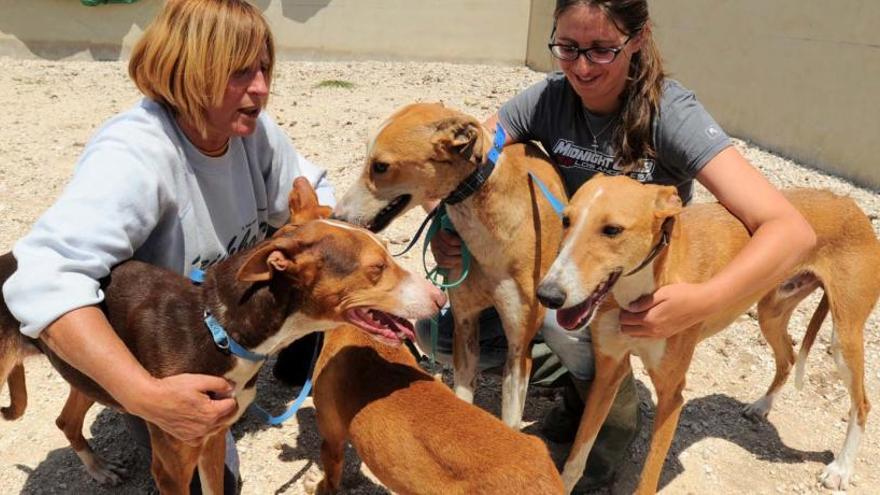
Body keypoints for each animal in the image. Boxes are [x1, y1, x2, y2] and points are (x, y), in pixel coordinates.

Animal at [0, 179, 444, 495]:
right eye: (376, 269)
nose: (439, 297)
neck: (218, 329)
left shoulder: (212, 442)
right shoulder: (171, 467)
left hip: (92, 373)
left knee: (66, 419)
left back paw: (99, 469)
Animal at [536, 173, 880, 492]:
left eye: (612, 230)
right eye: (566, 220)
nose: (548, 295)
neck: (641, 287)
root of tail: (848, 203)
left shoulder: (672, 395)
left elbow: (648, 477)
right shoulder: (608, 372)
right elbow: (577, 456)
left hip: (843, 338)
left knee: (862, 403)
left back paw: (840, 469)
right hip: (771, 313)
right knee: (788, 357)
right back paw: (761, 406)